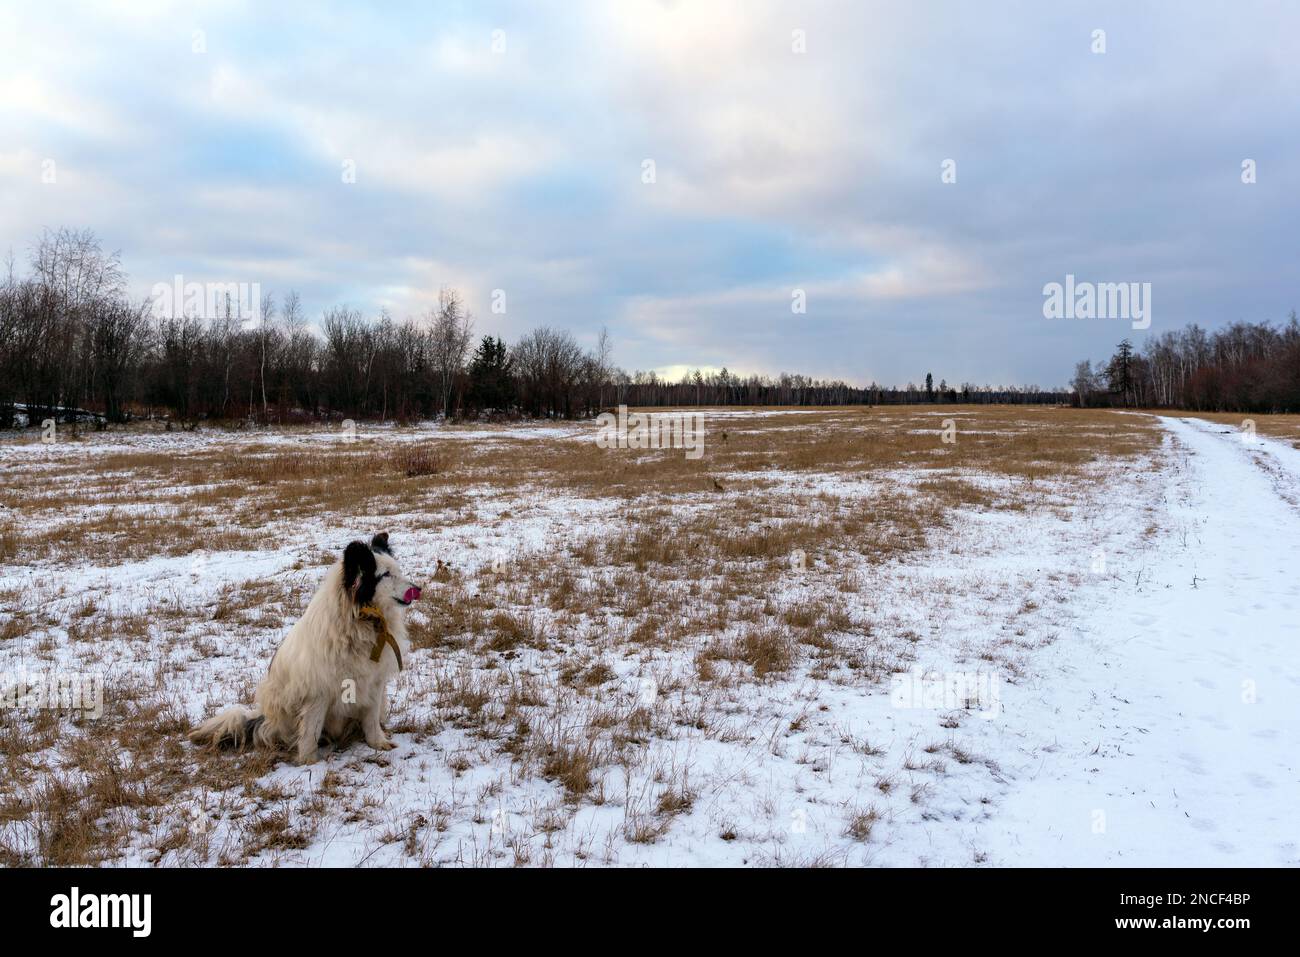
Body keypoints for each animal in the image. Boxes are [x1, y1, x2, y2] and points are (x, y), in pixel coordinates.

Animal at [189, 535, 421, 764]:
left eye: (397, 570)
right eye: (386, 575)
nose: (418, 589)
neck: (359, 622)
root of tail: (265, 719)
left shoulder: (374, 681)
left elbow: (371, 718)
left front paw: (378, 743)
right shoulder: (318, 691)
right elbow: (311, 728)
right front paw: (309, 761)